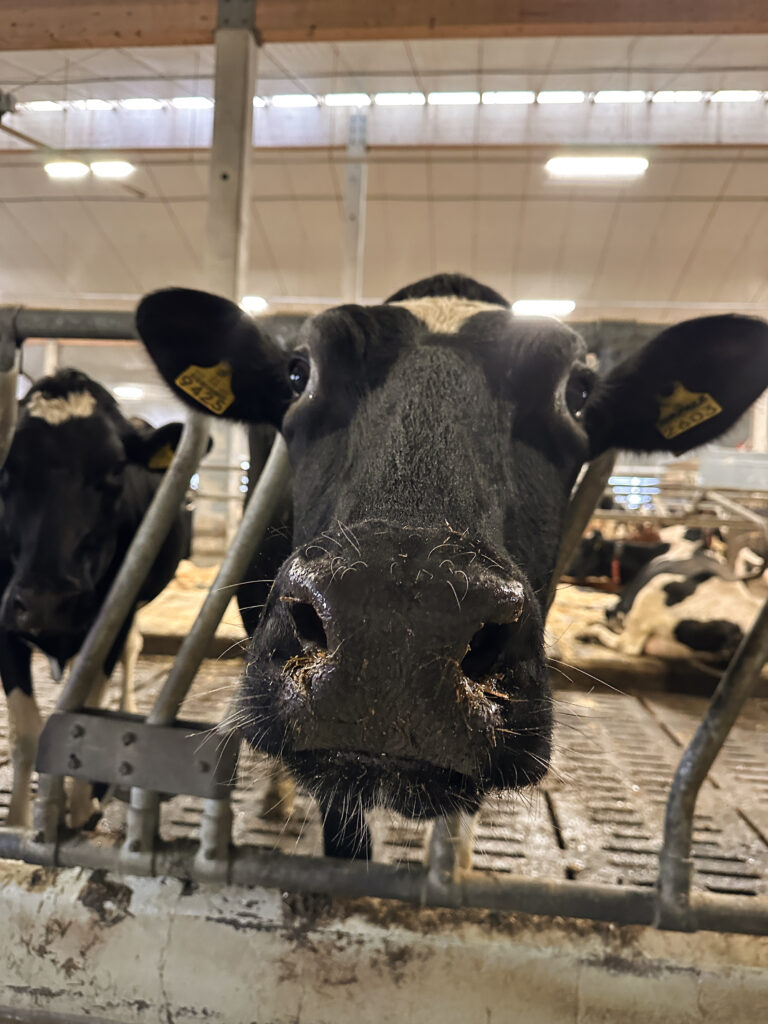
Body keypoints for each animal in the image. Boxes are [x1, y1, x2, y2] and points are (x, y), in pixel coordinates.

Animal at [0, 369, 191, 828]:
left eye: (115, 473)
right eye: (7, 472)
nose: (48, 603)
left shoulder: (111, 618)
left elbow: (86, 708)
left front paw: (82, 808)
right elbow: (24, 731)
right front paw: (17, 822)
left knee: (132, 650)